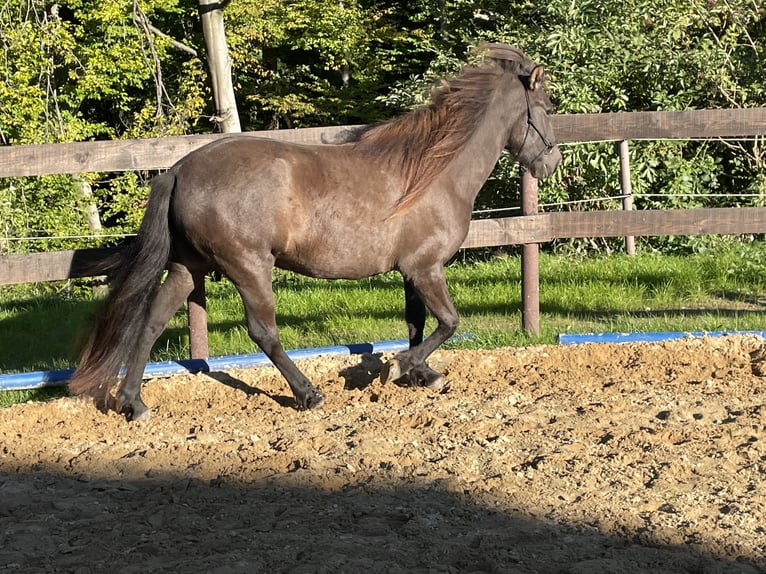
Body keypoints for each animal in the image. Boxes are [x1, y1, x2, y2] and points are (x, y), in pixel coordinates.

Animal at [70, 44, 564, 424]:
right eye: (546, 109)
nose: (551, 163)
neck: (435, 172)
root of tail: (178, 169)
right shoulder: (426, 268)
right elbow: (448, 322)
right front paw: (404, 368)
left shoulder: (411, 271)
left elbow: (417, 324)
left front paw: (419, 373)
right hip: (248, 265)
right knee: (263, 331)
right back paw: (308, 394)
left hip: (188, 267)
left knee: (151, 322)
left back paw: (133, 404)